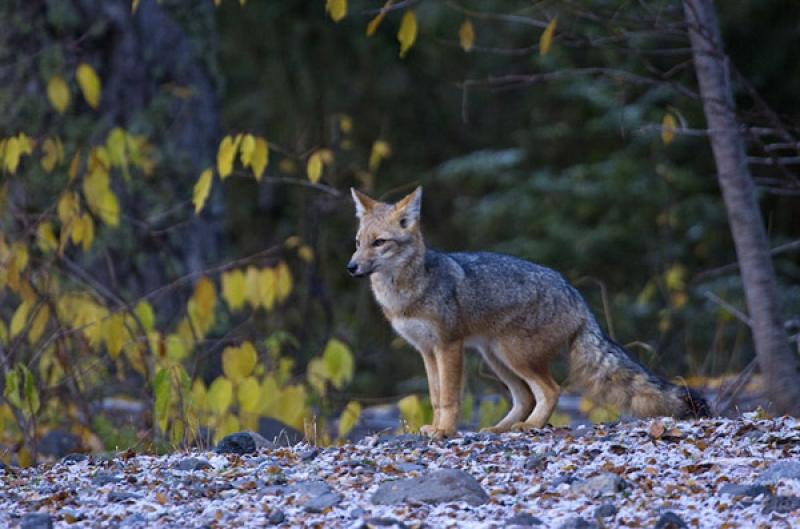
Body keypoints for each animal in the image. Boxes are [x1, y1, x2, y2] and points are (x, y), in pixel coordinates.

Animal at [346, 186, 708, 438]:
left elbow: (448, 397)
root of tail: (574, 293)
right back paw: (501, 428)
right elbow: (435, 396)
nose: (351, 268)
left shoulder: (448, 346)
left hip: (514, 356)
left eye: (379, 243)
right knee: (524, 397)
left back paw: (529, 426)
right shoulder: (426, 350)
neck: (407, 292)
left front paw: (445, 431)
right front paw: (435, 427)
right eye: (358, 242)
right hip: (498, 358)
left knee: (550, 390)